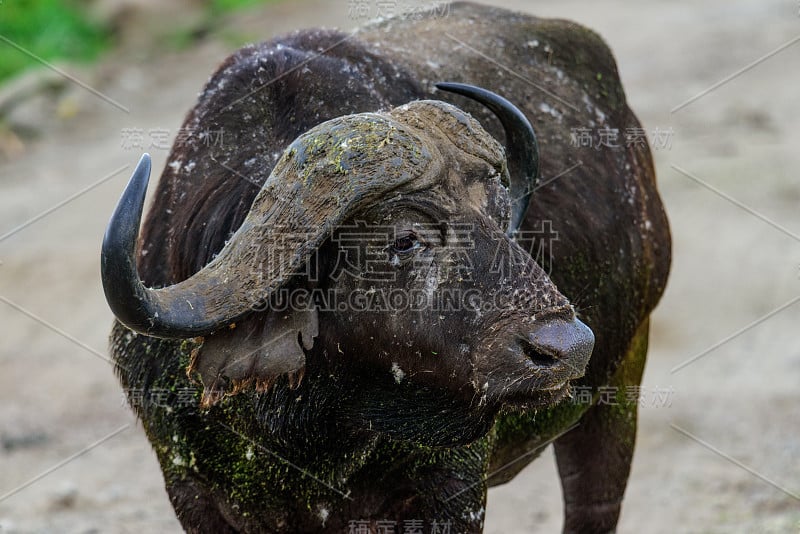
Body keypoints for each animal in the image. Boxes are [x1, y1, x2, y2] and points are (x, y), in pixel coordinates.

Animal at [103, 2, 672, 532]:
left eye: (498, 213)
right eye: (404, 238)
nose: (567, 348)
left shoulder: (451, 490)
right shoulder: (189, 490)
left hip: (622, 378)